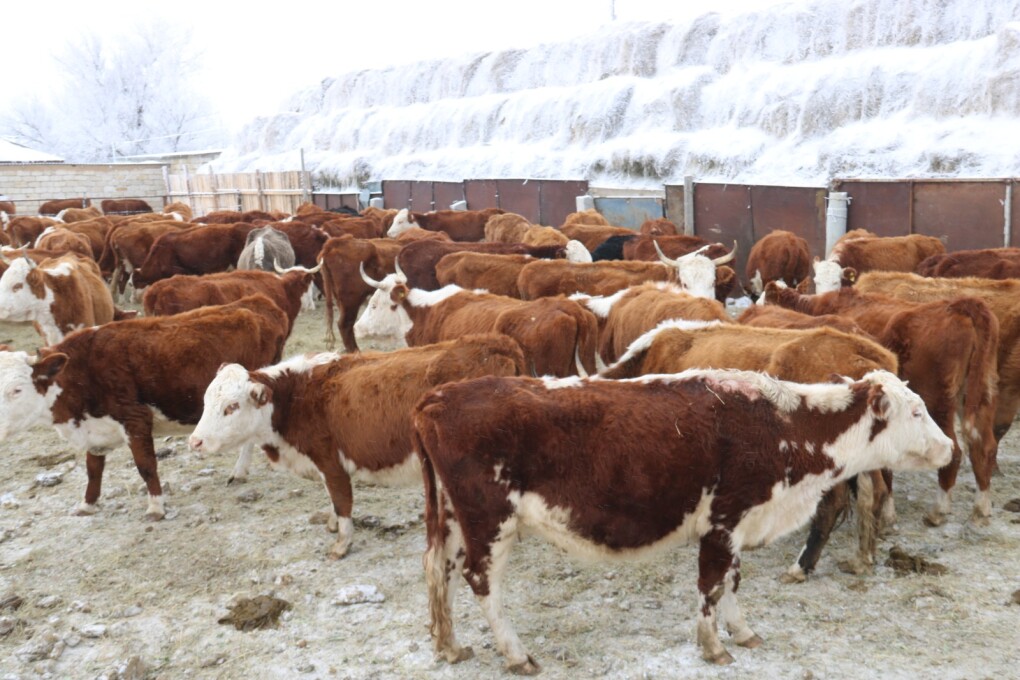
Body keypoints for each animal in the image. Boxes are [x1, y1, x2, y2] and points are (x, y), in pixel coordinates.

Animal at [0, 294, 289, 519]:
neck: (80, 370)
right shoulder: (95, 428)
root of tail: (259, 302)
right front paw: (87, 504)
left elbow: (146, 465)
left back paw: (239, 471)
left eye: (16, 390)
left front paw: (156, 507)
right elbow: (93, 470)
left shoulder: (134, 418)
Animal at [187, 333, 526, 558]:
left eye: (231, 406)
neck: (295, 396)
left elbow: (342, 501)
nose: (195, 441)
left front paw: (341, 543)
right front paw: (331, 524)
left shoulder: (330, 461)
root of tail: (497, 344)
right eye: (206, 400)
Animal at [414, 368, 952, 671]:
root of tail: (437, 396)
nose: (949, 447)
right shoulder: (723, 520)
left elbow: (732, 581)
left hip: (453, 519)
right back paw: (516, 654)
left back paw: (449, 646)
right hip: (489, 520)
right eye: (918, 411)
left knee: (439, 571)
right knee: (481, 582)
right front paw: (713, 646)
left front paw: (743, 632)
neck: (780, 426)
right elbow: (712, 585)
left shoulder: (737, 526)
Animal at [763, 282, 999, 526]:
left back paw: (937, 510)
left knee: (955, 452)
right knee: (985, 446)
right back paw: (982, 508)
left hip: (939, 403)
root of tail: (960, 306)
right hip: (980, 394)